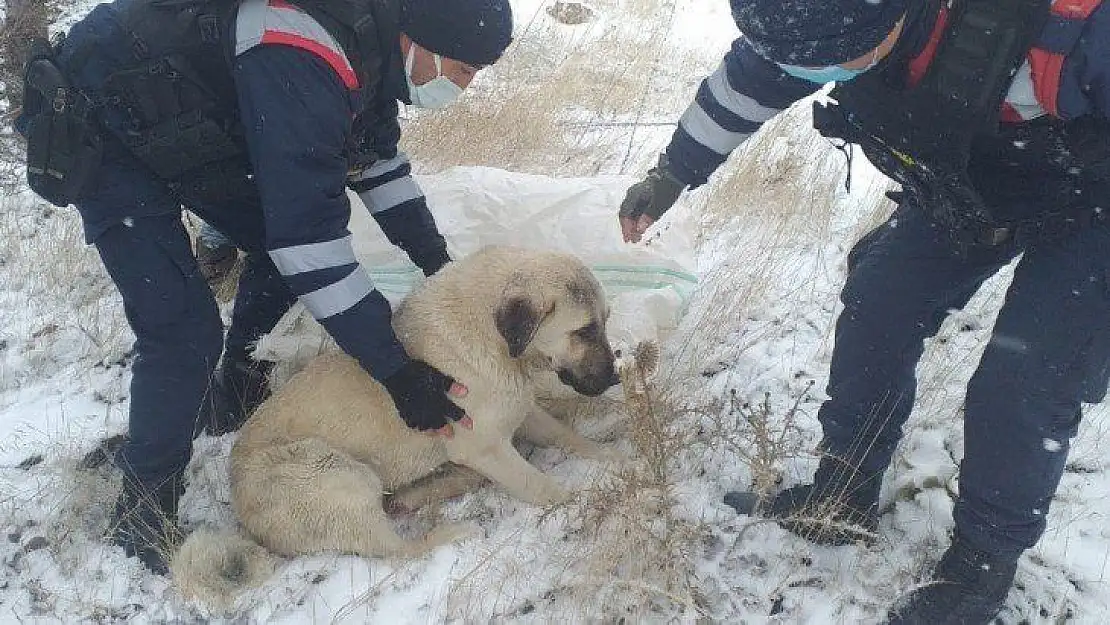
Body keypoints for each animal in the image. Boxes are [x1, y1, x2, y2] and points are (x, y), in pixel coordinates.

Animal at [175, 247, 626, 608]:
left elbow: (567, 436)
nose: (614, 379)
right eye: (583, 331)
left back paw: (422, 494)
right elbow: (543, 487)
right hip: (341, 474)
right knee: (397, 550)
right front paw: (583, 498)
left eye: (604, 322)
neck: (493, 338)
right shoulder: (485, 446)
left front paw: (608, 456)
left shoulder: (519, 410)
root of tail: (241, 514)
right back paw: (451, 532)